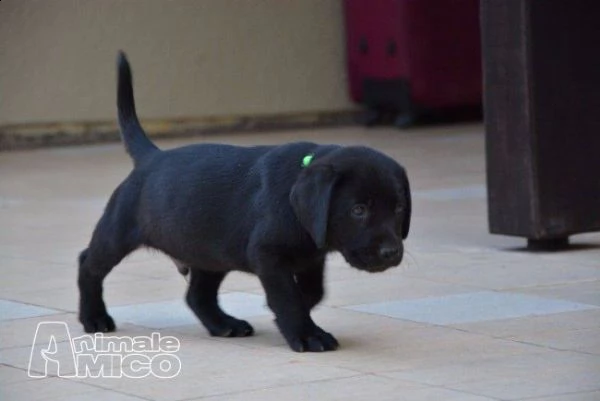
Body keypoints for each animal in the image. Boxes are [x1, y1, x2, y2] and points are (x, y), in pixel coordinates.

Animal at [77, 51, 410, 352]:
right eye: (358, 210)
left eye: (398, 209)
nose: (391, 252)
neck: (296, 205)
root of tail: (151, 157)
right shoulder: (268, 255)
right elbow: (288, 297)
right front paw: (306, 334)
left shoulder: (311, 256)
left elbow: (312, 291)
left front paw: (293, 313)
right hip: (118, 233)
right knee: (89, 264)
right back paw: (93, 317)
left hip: (208, 251)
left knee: (198, 295)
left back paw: (224, 324)